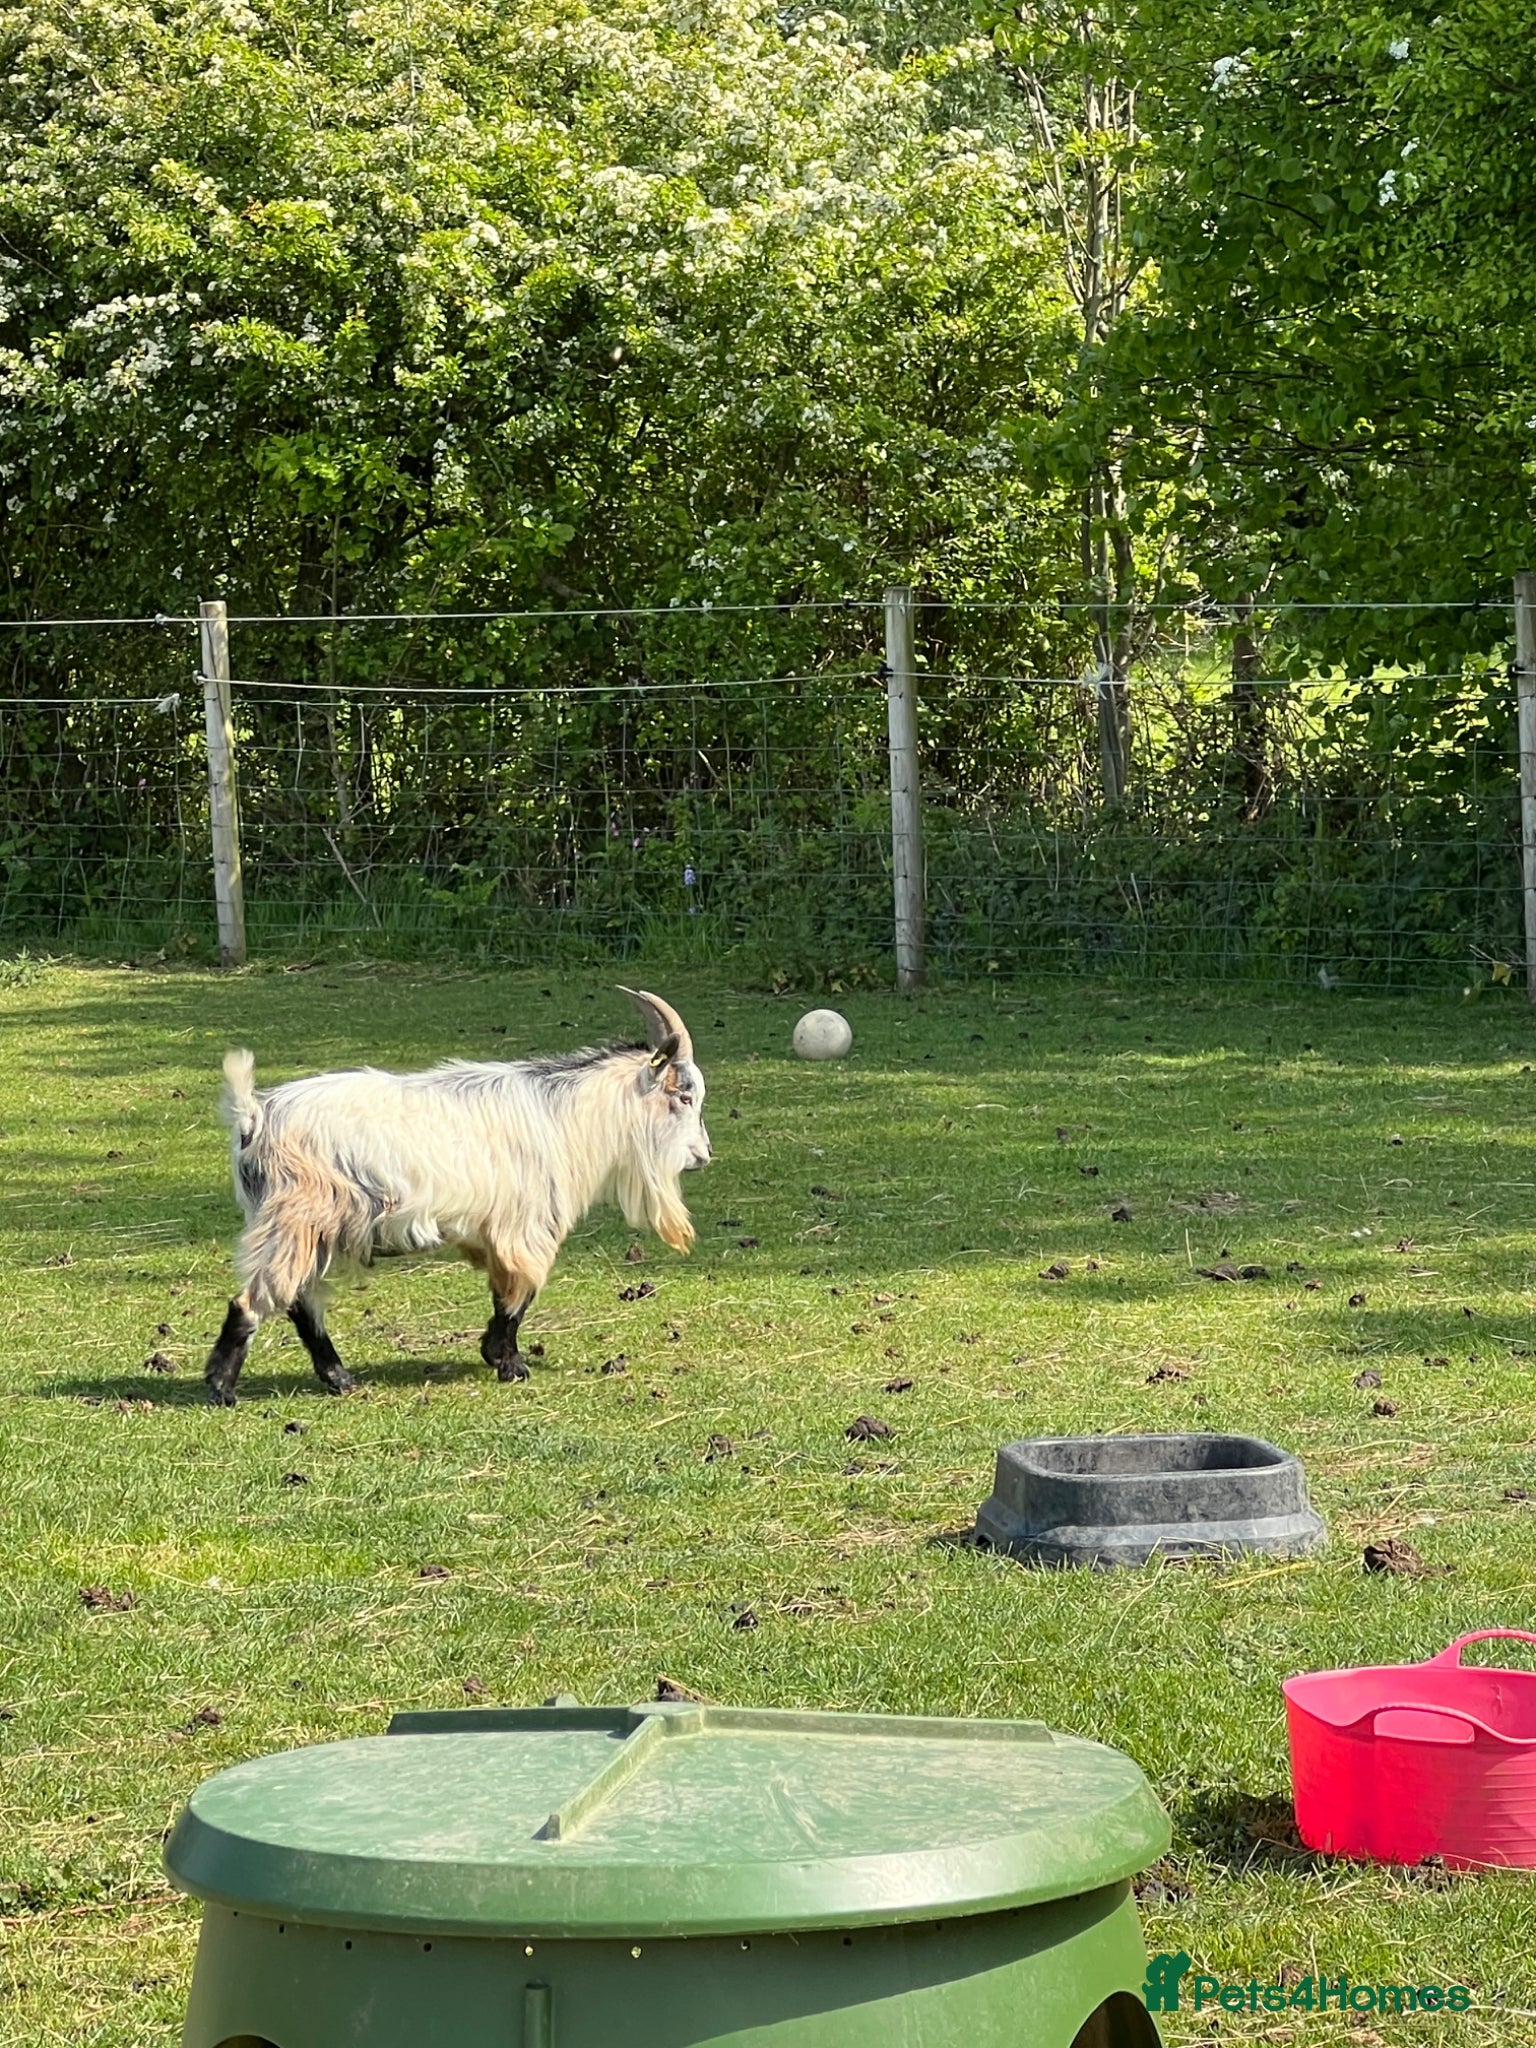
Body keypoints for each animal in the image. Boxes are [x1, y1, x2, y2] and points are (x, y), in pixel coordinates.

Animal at [202, 989, 710, 1404]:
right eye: (685, 1097)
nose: (703, 1155)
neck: (564, 1116)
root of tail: (254, 1117)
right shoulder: (523, 1227)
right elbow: (518, 1294)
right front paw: (510, 1364)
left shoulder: (492, 1231)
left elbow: (505, 1292)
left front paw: (496, 1355)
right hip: (297, 1218)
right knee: (258, 1299)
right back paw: (223, 1388)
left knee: (300, 1301)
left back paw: (338, 1378)